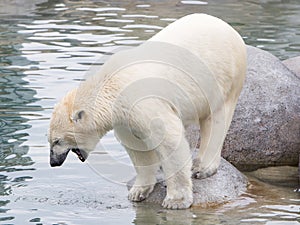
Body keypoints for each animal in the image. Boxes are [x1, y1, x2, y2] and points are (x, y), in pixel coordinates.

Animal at [48, 14, 246, 209]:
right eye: (50, 140)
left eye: (57, 141)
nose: (53, 162)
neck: (112, 86)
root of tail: (231, 30)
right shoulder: (125, 119)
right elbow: (138, 148)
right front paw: (138, 192)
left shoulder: (142, 102)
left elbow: (169, 138)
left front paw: (176, 201)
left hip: (220, 77)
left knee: (216, 119)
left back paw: (202, 167)